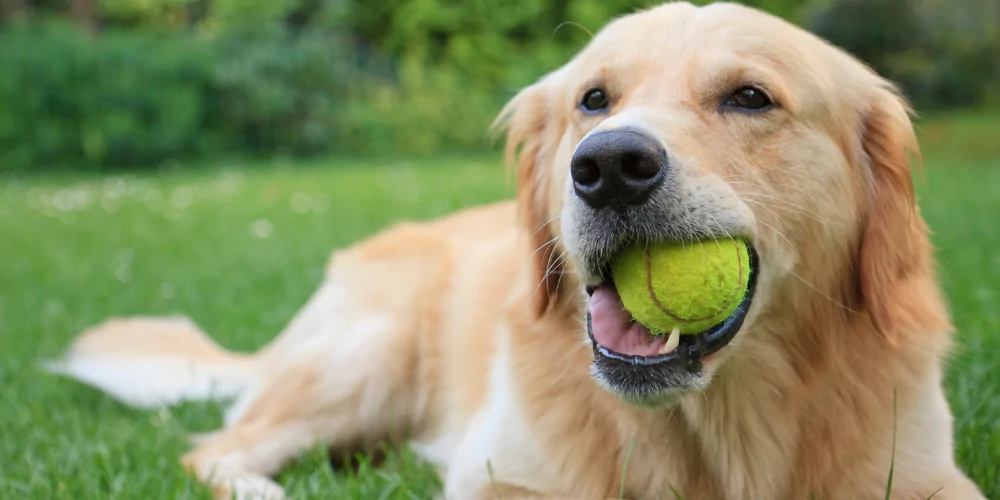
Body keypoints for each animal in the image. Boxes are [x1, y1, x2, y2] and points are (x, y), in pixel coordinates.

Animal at [48, 3, 984, 500]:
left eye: (750, 97)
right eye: (593, 100)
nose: (608, 167)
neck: (715, 426)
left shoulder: (924, 474)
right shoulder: (500, 475)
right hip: (365, 356)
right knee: (217, 450)